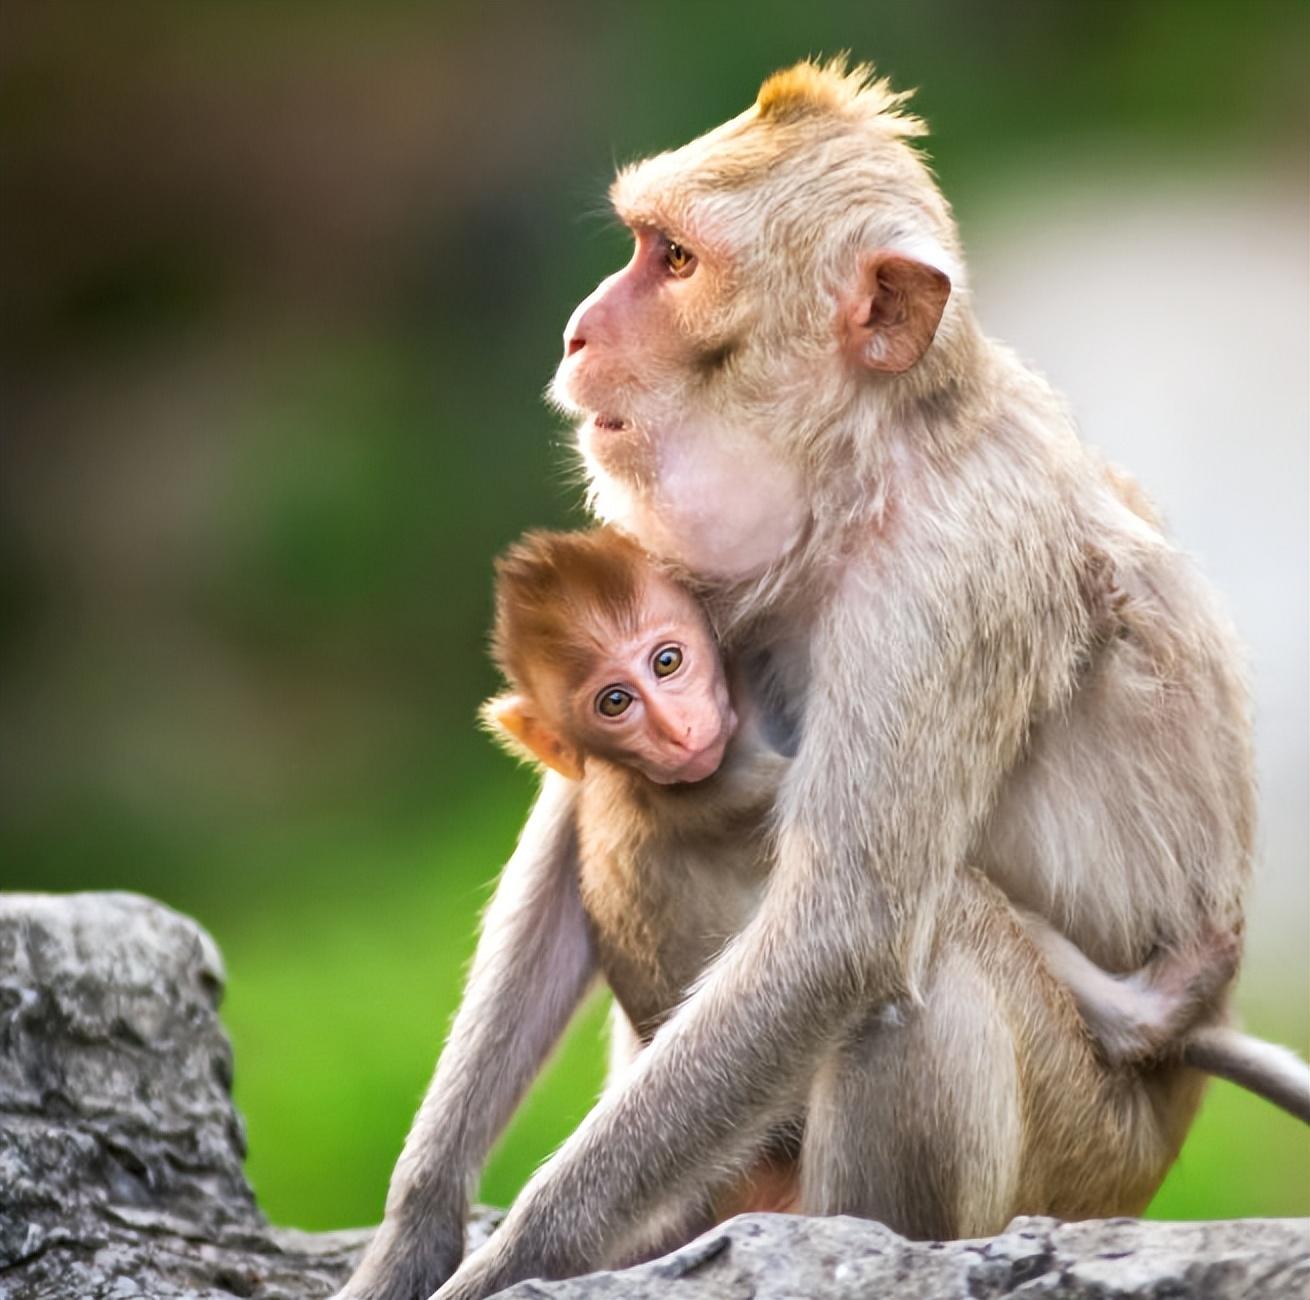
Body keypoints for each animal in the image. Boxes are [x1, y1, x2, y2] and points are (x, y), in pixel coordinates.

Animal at [332, 58, 1252, 1300]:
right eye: (640, 242)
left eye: (673, 261)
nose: (575, 332)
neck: (864, 463)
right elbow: (572, 818)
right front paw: (417, 1224)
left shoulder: (943, 580)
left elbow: (838, 931)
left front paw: (512, 1259)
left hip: (1081, 1160)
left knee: (924, 967)